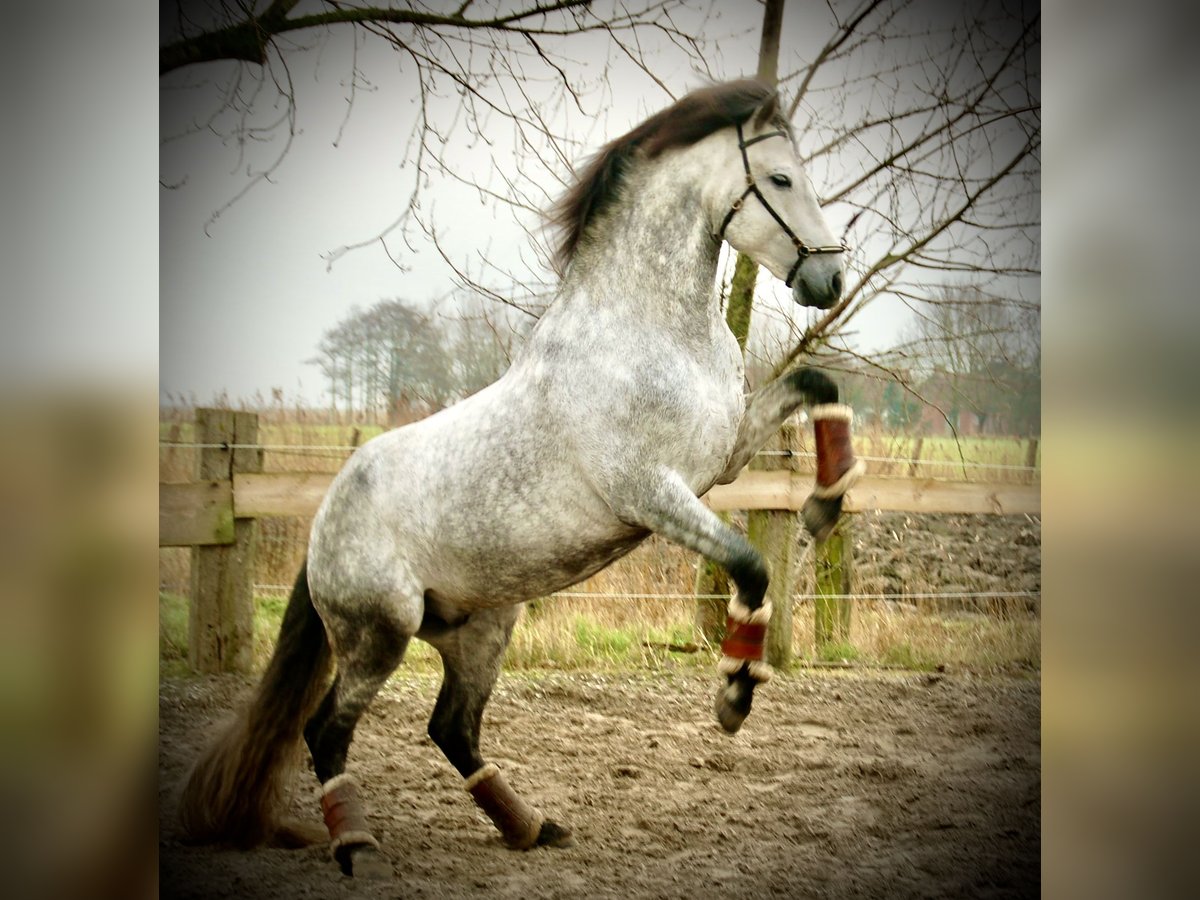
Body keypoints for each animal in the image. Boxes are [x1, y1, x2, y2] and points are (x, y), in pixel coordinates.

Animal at [177, 79, 864, 883]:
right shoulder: (652, 492)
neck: (648, 329)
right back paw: (358, 848)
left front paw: (824, 505)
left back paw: (530, 827)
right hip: (380, 634)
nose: (829, 279)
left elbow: (818, 381)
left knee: (451, 728)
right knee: (326, 731)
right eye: (782, 180)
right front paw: (734, 694)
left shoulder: (721, 456)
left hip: (482, 626)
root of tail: (324, 523)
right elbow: (752, 564)